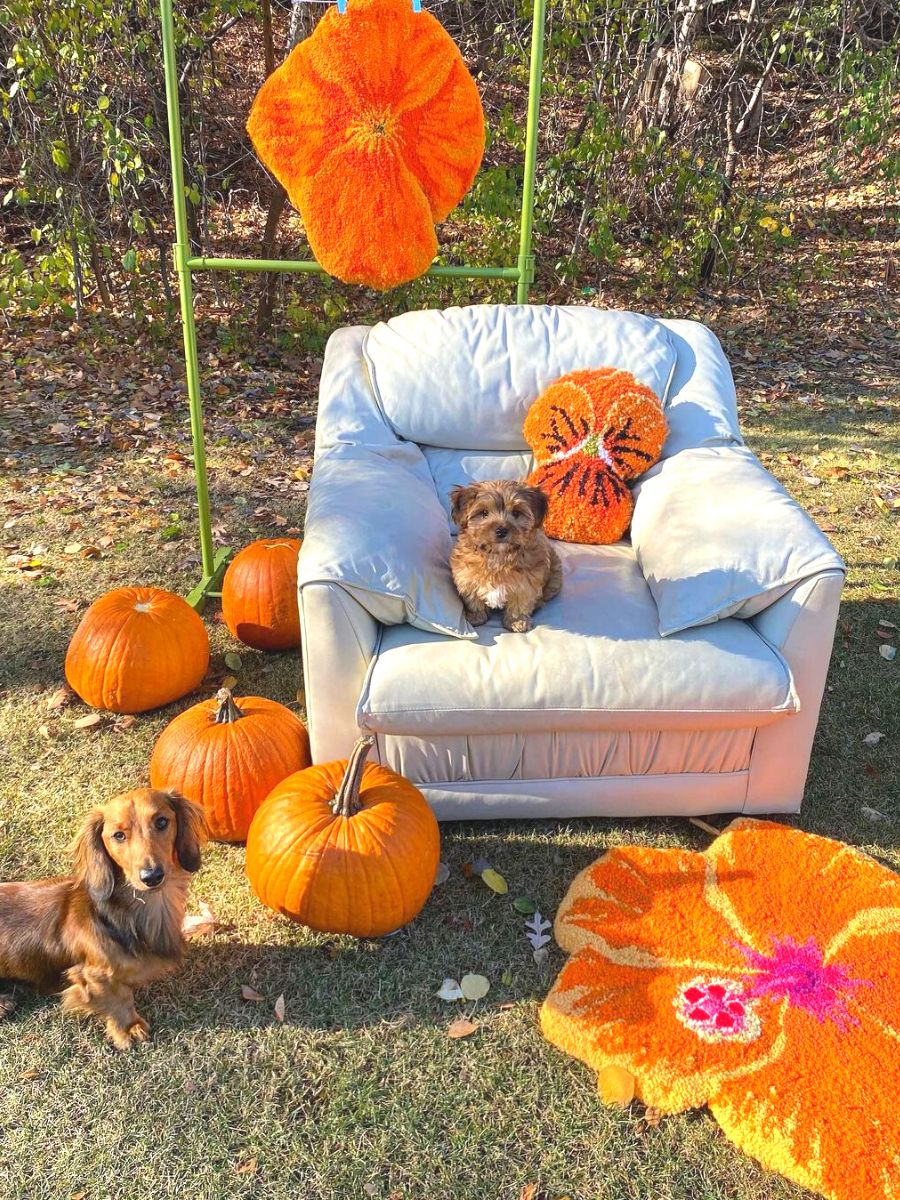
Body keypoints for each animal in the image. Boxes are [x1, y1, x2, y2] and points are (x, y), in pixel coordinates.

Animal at [0, 787, 206, 1051]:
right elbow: (119, 999)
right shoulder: (92, 975)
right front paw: (129, 1028)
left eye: (161, 822)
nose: (152, 876)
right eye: (118, 835)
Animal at [451, 477, 564, 633]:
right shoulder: (465, 575)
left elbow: (520, 602)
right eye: (484, 513)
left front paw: (517, 621)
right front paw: (476, 616)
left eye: (516, 513)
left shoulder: (526, 583)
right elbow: (472, 597)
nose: (501, 531)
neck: (498, 555)